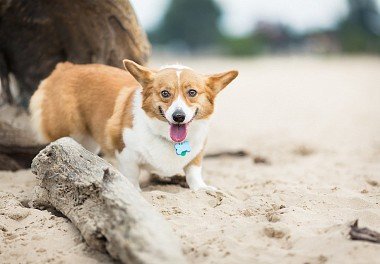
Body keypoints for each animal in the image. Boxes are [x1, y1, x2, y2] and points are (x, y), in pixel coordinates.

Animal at [29, 60, 238, 190]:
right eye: (165, 93)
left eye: (192, 92)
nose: (178, 117)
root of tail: (65, 67)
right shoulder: (126, 153)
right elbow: (131, 175)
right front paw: (135, 191)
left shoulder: (197, 154)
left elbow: (193, 172)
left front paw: (201, 188)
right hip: (68, 131)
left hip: (87, 141)